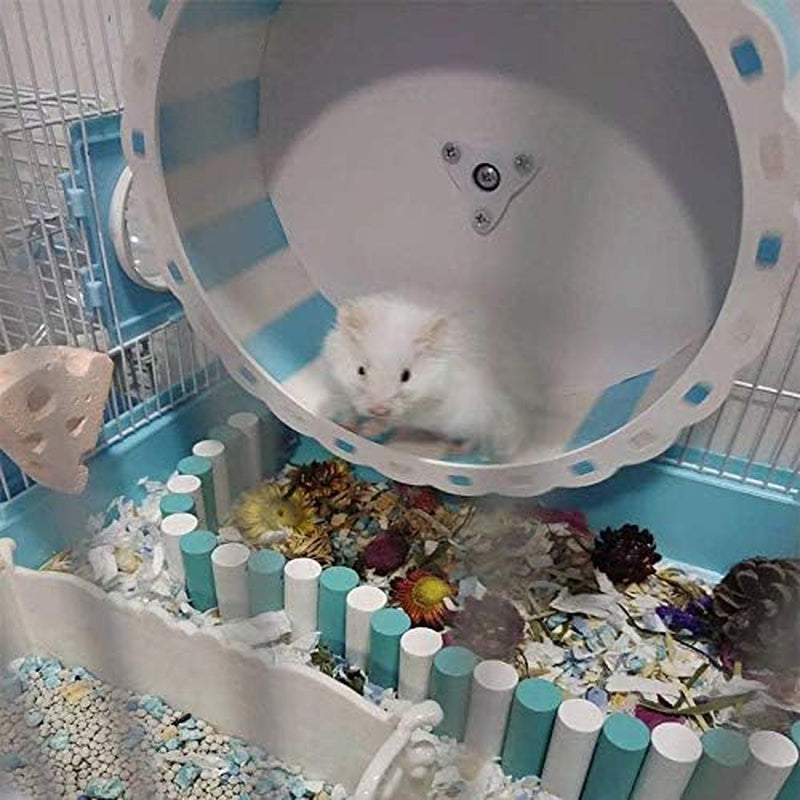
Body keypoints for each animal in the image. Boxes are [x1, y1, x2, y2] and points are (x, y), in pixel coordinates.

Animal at [322, 293, 523, 460]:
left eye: (406, 376)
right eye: (361, 370)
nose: (378, 410)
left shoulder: (417, 411)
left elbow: (392, 421)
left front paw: (367, 431)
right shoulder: (339, 387)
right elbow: (348, 410)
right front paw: (346, 427)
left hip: (471, 419)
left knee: (473, 439)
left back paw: (455, 449)